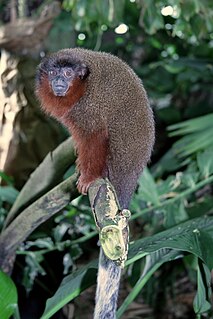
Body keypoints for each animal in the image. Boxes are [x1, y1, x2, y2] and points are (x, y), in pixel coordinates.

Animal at [35, 48, 155, 319]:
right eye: (55, 72)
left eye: (68, 74)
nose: (60, 82)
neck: (80, 88)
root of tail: (130, 175)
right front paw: (81, 170)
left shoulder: (88, 109)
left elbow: (95, 135)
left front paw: (89, 177)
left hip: (117, 159)